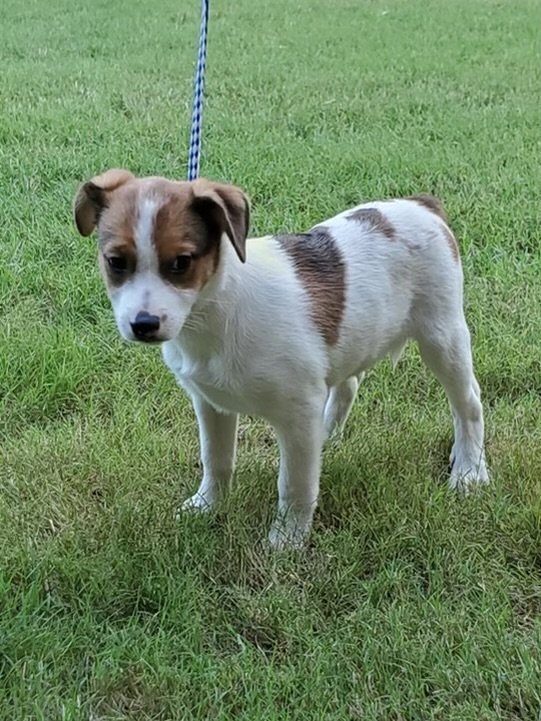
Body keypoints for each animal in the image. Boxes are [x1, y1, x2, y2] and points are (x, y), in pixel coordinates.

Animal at [73, 169, 489, 548]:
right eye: (115, 262)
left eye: (180, 263)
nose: (143, 324)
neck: (217, 311)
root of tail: (420, 204)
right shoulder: (210, 403)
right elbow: (216, 459)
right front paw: (207, 506)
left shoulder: (297, 410)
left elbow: (295, 483)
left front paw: (287, 540)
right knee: (349, 383)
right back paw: (327, 435)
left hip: (442, 336)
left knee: (468, 403)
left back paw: (469, 468)